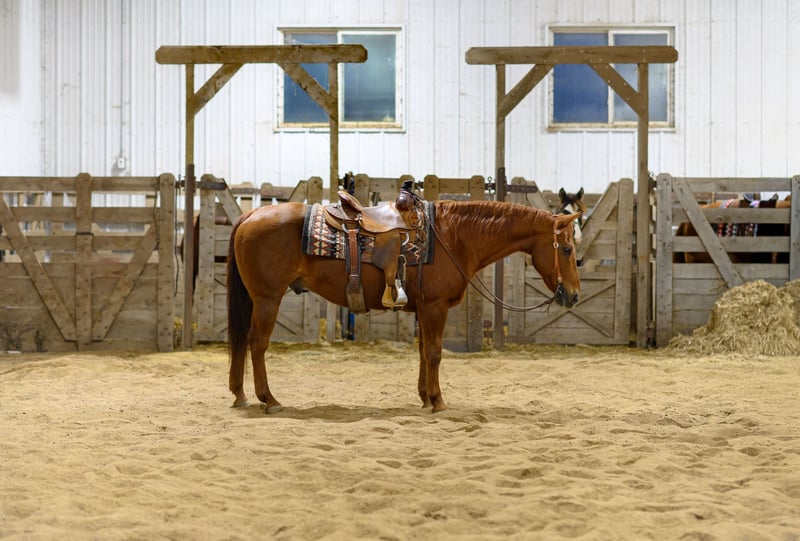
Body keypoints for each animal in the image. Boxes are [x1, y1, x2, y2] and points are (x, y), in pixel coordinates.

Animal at [227, 198, 582, 413]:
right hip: (267, 298)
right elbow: (435, 353)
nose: (575, 294)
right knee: (257, 344)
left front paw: (425, 397)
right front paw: (438, 401)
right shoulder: (436, 307)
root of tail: (250, 215)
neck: (452, 237)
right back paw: (269, 399)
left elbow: (424, 352)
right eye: (566, 249)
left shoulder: (424, 308)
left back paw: (240, 395)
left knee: (243, 341)